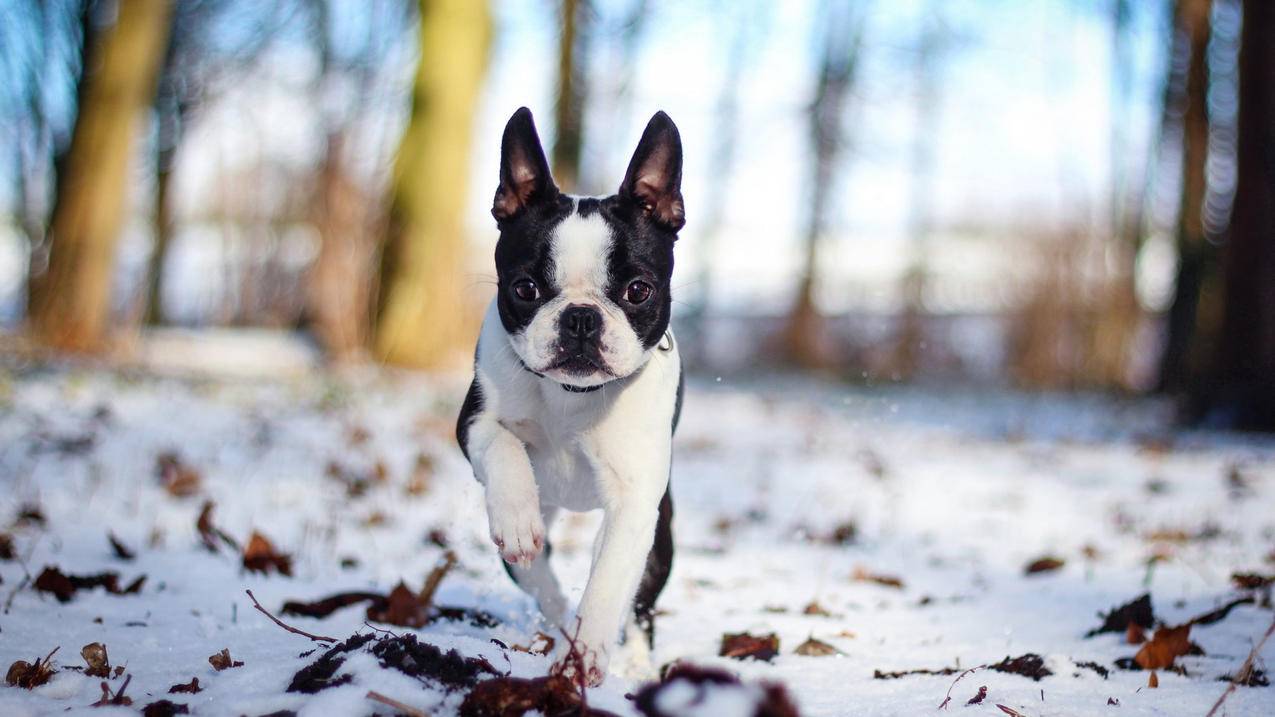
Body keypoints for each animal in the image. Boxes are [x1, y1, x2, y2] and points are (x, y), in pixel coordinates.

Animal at [453, 104, 683, 678]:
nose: (580, 318)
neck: (571, 397)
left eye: (638, 291)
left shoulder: (634, 500)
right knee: (539, 576)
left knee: (641, 603)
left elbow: (608, 582)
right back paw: (551, 614)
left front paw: (588, 653)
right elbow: (502, 444)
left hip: (661, 533)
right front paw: (515, 516)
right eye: (525, 289)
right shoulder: (473, 423)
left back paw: (634, 664)